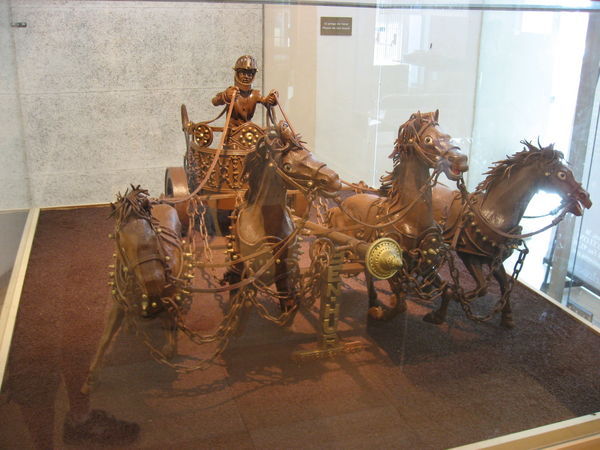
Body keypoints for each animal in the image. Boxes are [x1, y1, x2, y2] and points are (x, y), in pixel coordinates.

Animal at [82, 185, 189, 392]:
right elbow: (105, 338)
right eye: (120, 240)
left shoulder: (169, 300)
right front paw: (91, 379)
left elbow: (169, 342)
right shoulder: (118, 303)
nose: (153, 283)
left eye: (154, 233)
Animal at [328, 110, 468, 318]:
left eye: (447, 135)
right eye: (428, 139)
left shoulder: (425, 262)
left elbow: (448, 288)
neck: (408, 218)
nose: (461, 160)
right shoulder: (394, 265)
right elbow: (400, 303)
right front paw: (381, 313)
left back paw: (373, 300)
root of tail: (339, 206)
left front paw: (435, 317)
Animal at [426, 141, 592, 326]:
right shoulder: (468, 256)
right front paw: (453, 296)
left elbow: (504, 286)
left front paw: (507, 316)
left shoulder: (496, 260)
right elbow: (482, 287)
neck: (492, 216)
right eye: (562, 174)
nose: (585, 196)